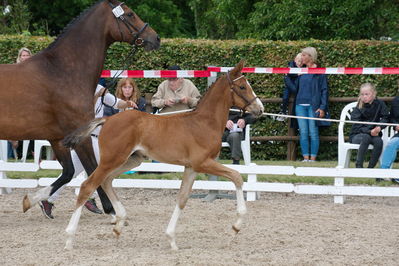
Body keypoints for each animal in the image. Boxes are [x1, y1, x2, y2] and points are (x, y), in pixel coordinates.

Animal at [0, 0, 161, 214]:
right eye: (130, 14)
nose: (156, 38)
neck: (62, 71)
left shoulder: (58, 138)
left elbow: (68, 172)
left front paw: (35, 200)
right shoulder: (80, 135)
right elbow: (93, 169)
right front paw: (109, 208)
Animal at [61, 60, 264, 249]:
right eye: (242, 86)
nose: (260, 109)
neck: (203, 123)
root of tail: (107, 119)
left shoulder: (191, 167)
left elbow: (182, 199)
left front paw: (171, 238)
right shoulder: (203, 163)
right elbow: (237, 177)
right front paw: (236, 226)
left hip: (131, 161)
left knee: (106, 181)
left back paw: (119, 224)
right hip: (112, 160)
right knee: (88, 186)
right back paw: (69, 238)